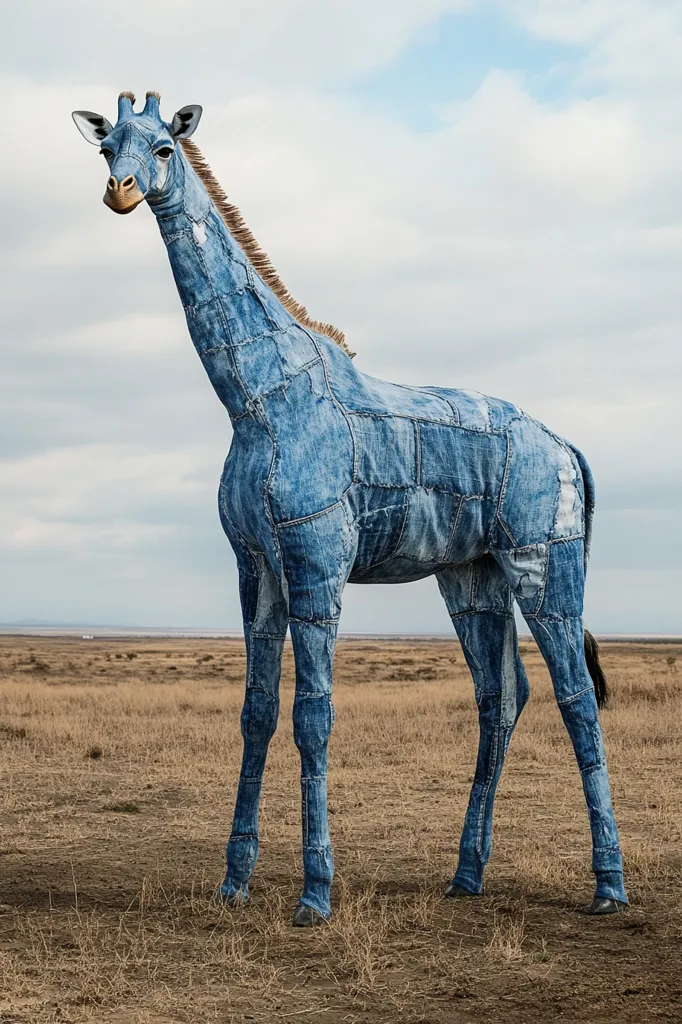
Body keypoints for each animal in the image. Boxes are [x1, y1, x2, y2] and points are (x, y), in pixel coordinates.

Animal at [73, 92, 628, 926]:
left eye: (165, 147)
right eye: (107, 147)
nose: (121, 191)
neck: (255, 401)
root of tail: (568, 448)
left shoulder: (316, 562)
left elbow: (314, 716)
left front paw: (314, 894)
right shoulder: (256, 567)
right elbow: (257, 713)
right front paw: (234, 882)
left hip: (545, 560)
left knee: (575, 698)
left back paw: (607, 887)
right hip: (473, 576)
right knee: (501, 696)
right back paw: (467, 875)